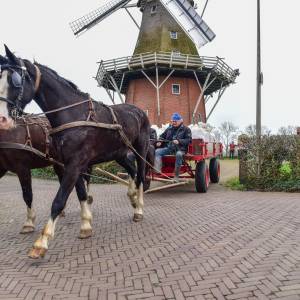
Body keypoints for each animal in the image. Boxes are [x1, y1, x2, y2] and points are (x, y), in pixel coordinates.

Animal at [0, 45, 150, 258]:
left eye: (15, 80)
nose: (2, 119)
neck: (72, 114)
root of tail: (139, 111)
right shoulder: (71, 163)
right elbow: (80, 193)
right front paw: (86, 225)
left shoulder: (74, 163)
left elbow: (59, 199)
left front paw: (41, 243)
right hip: (119, 153)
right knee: (132, 171)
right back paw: (133, 198)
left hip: (140, 148)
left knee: (141, 175)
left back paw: (139, 209)